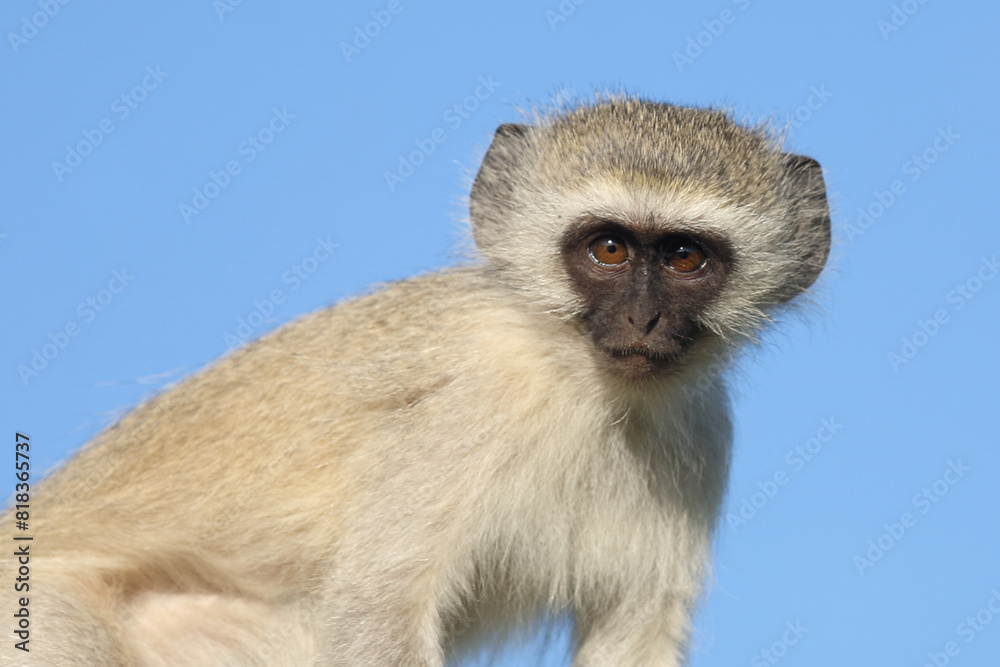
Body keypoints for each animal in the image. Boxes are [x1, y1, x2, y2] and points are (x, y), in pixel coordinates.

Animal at [3, 95, 830, 666]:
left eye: (686, 257)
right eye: (609, 249)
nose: (644, 318)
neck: (584, 386)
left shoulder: (704, 431)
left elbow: (633, 635)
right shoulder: (464, 412)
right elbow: (377, 609)